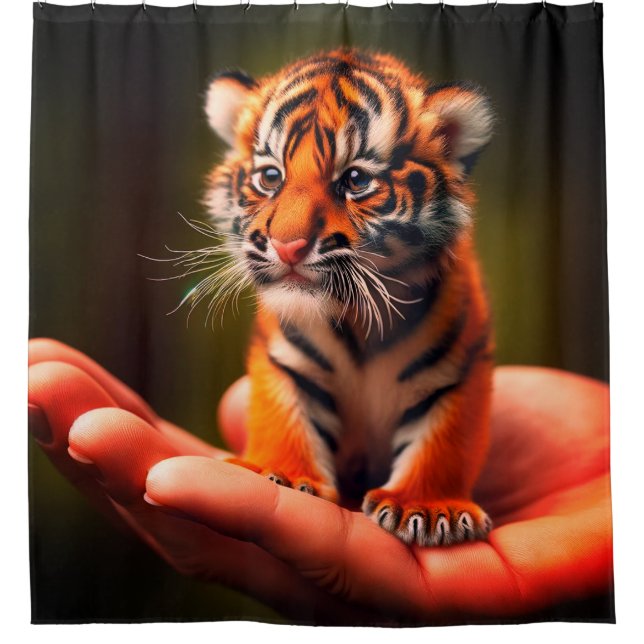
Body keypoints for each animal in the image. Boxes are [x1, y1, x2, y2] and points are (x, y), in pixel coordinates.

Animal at [200, 48, 495, 547]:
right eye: (270, 177)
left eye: (355, 180)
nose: (287, 246)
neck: (359, 322)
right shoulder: (285, 360)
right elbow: (283, 415)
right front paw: (278, 472)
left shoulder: (461, 367)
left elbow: (444, 440)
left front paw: (427, 507)